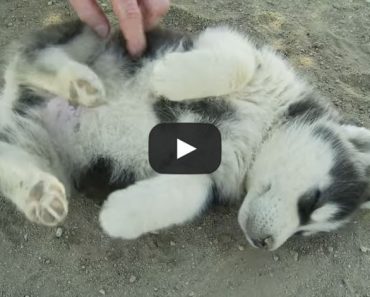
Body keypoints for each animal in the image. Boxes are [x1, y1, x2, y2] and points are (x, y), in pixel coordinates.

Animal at [0, 19, 370, 249]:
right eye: (313, 202)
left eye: (305, 233)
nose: (265, 245)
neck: (262, 130)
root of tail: (15, 102)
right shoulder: (230, 45)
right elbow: (239, 63)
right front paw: (168, 77)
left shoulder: (209, 174)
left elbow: (194, 192)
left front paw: (119, 215)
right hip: (92, 36)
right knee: (31, 57)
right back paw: (80, 83)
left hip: (43, 149)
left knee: (10, 162)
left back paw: (39, 195)